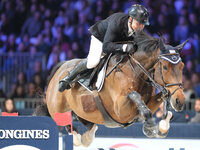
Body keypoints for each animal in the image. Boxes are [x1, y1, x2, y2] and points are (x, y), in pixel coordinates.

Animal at [35, 30, 186, 146]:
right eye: (165, 67)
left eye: (182, 66)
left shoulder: (149, 102)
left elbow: (158, 101)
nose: (180, 101)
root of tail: (60, 68)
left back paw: (88, 135)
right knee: (63, 121)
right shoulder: (120, 110)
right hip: (57, 108)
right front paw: (150, 127)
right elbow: (135, 95)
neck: (136, 71)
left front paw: (163, 125)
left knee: (84, 121)